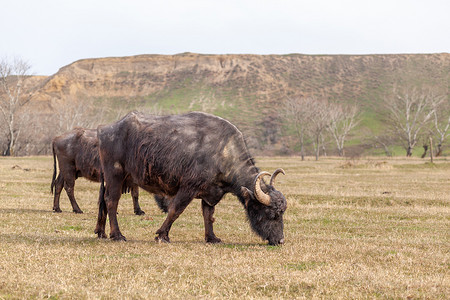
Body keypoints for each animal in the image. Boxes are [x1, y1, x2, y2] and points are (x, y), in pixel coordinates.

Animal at [95, 111, 286, 245]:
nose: (281, 240)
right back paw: (117, 235)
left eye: (282, 213)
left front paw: (212, 237)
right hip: (115, 175)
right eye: (271, 214)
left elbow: (208, 215)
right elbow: (175, 210)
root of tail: (104, 130)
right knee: (111, 201)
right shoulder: (188, 188)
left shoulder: (211, 194)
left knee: (103, 201)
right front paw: (162, 235)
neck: (223, 152)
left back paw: (101, 232)